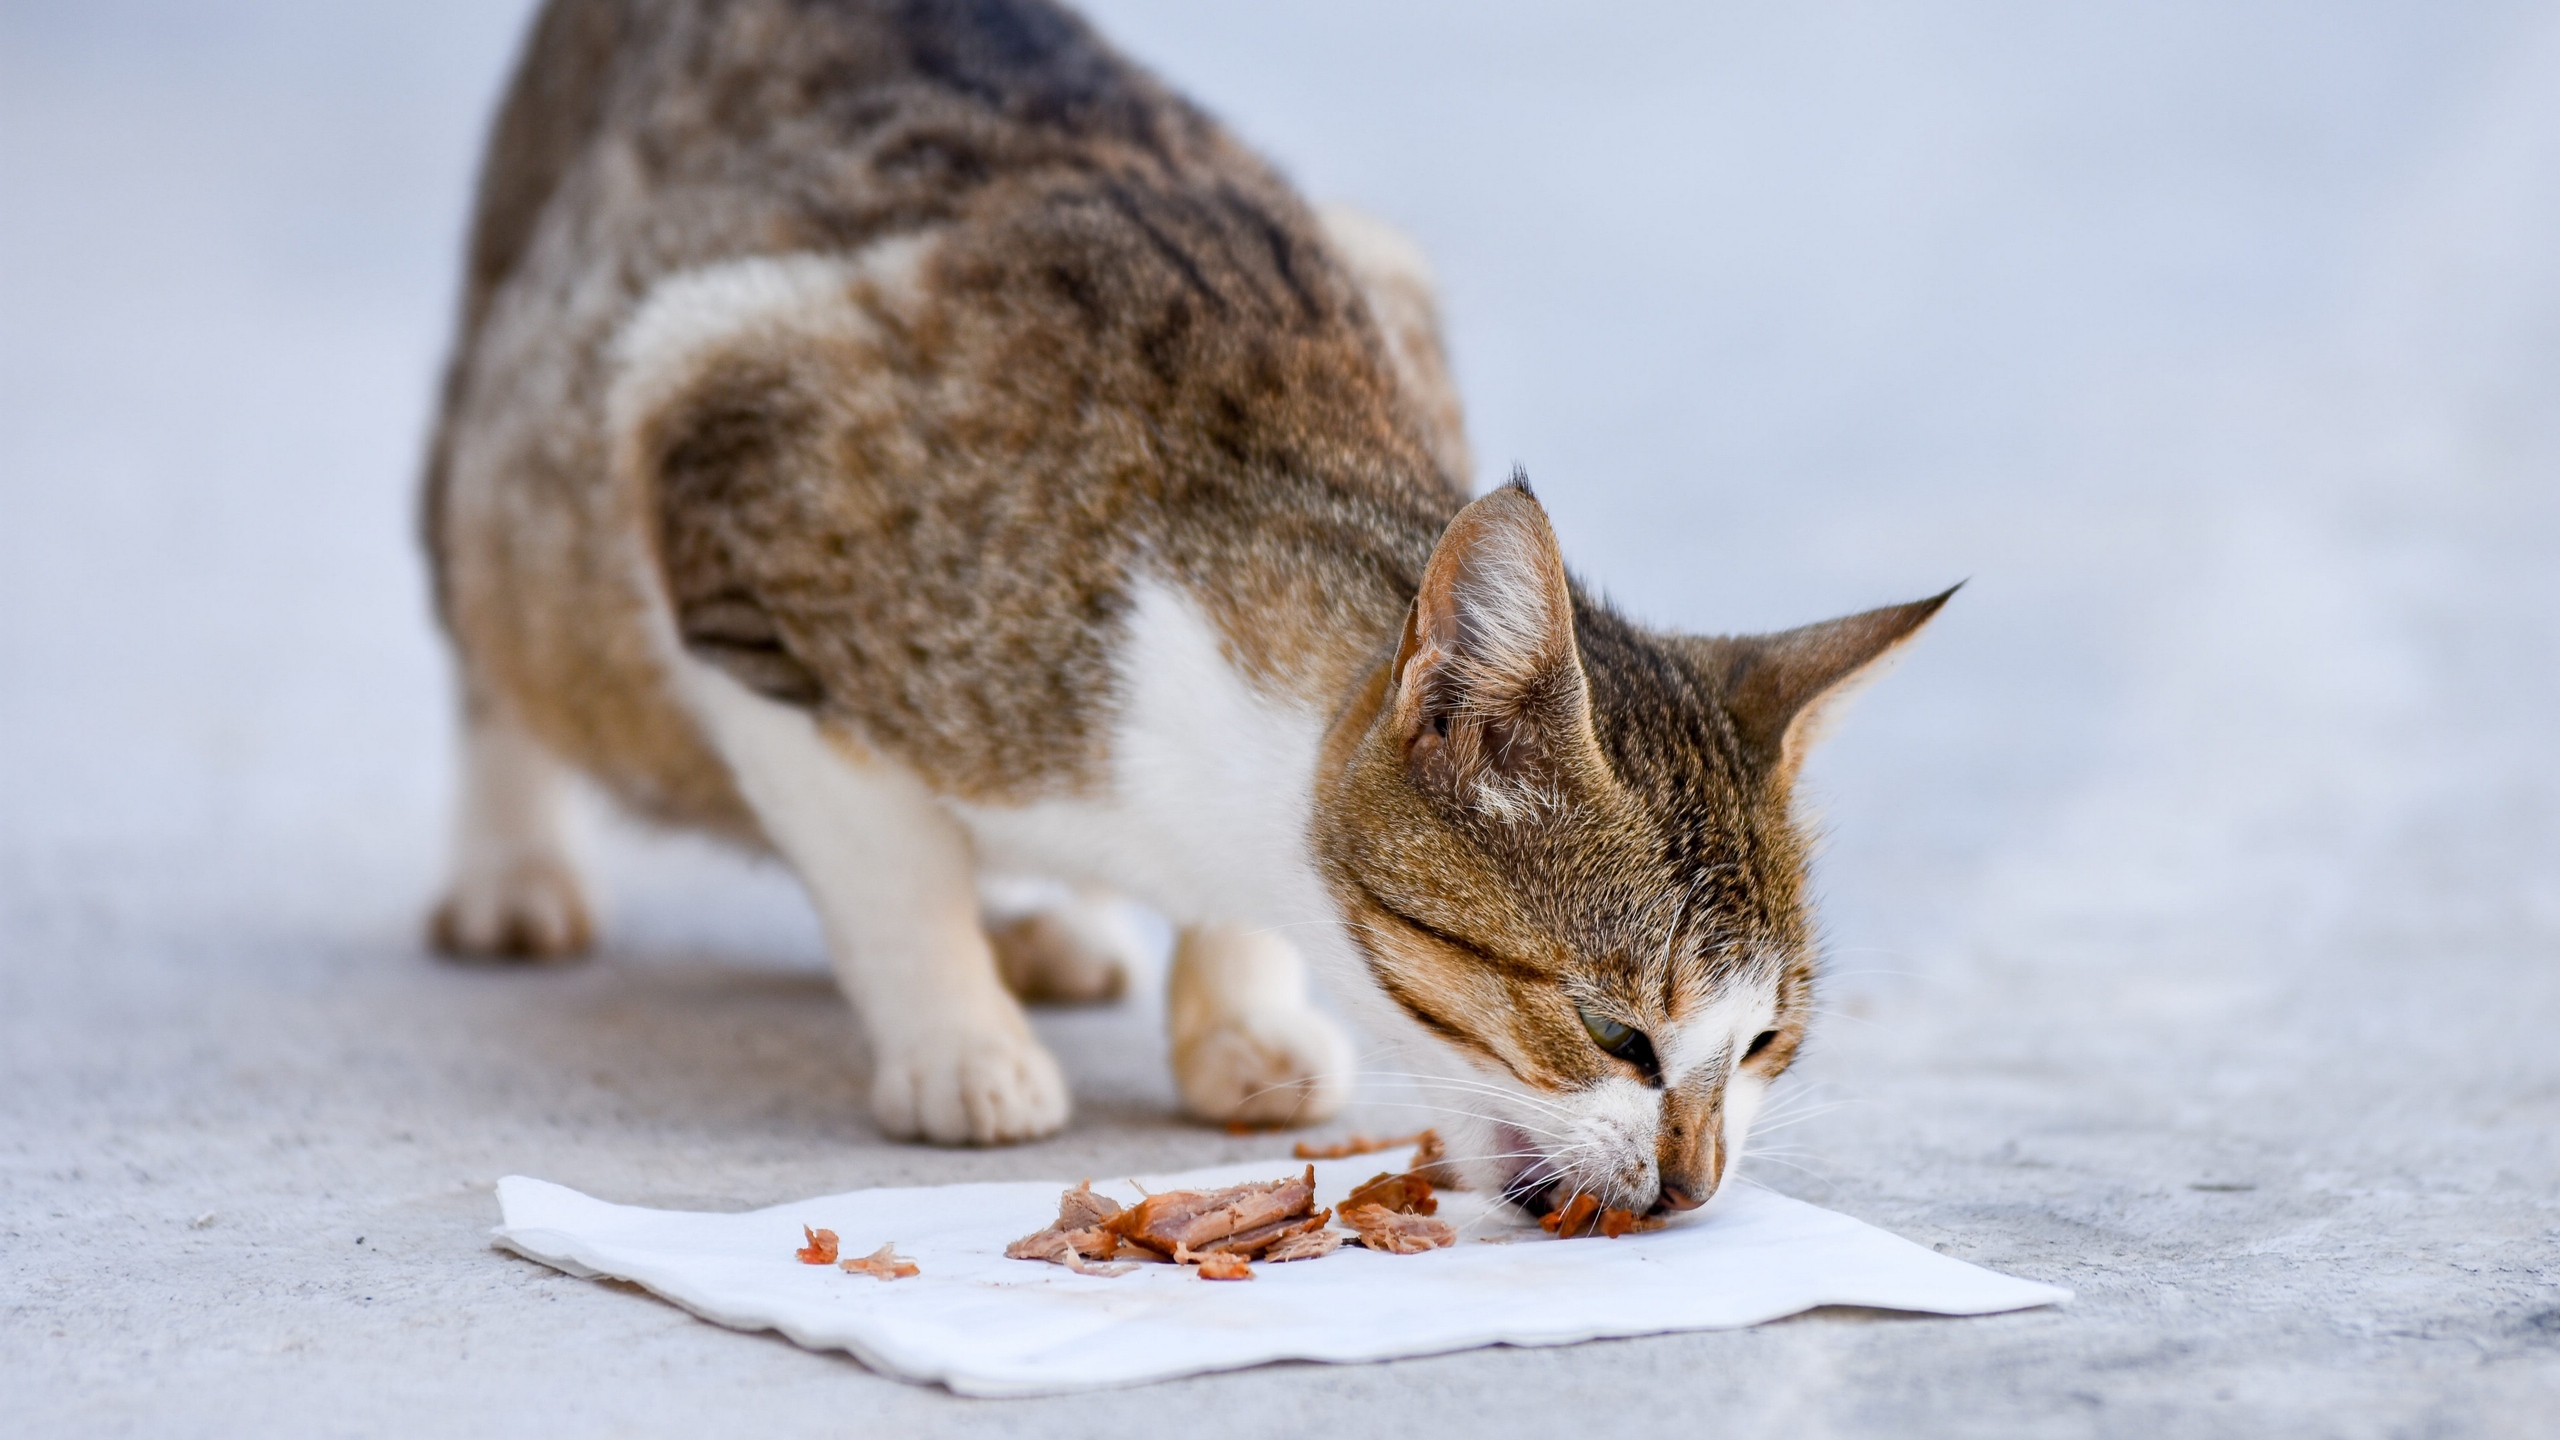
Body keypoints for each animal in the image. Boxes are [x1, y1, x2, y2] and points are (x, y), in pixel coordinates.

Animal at [419, 0, 1945, 1214]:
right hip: (522, 451)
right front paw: (957, 1039)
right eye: (1612, 1033)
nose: (1696, 1186)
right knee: (491, 626)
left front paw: (1235, 1015)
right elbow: (884, 863)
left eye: (1764, 1047)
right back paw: (514, 870)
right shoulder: (715, 448)